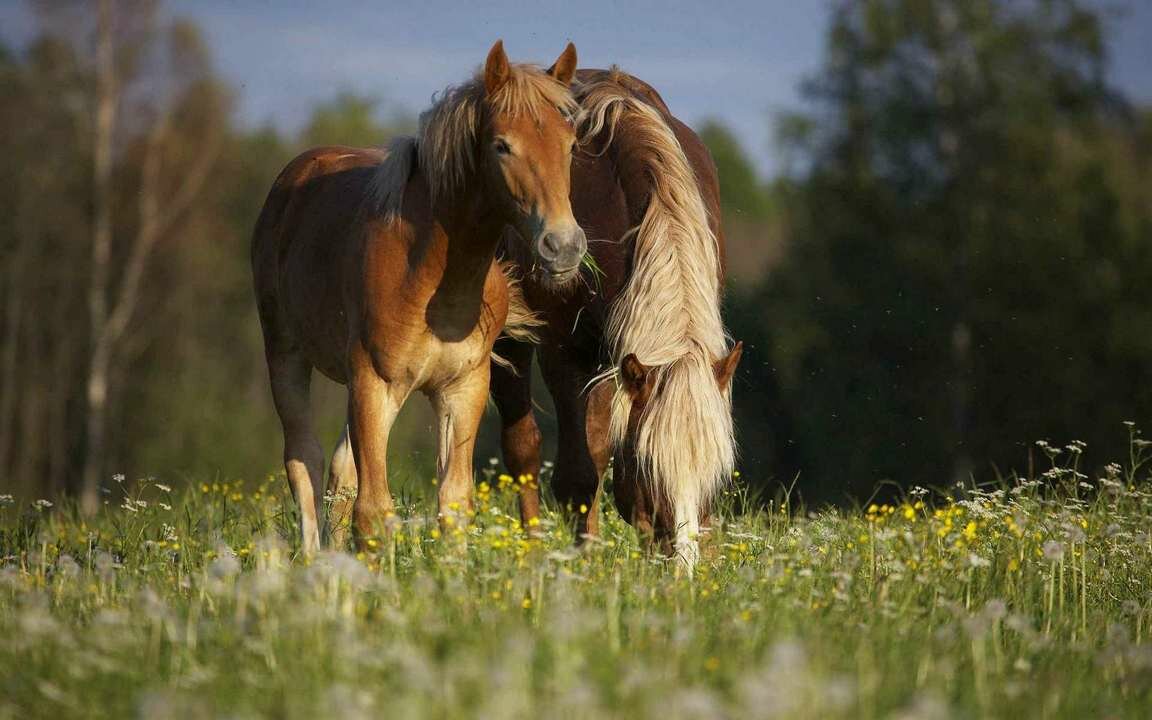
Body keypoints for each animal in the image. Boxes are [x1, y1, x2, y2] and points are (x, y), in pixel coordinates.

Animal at [247, 42, 580, 552]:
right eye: (502, 145)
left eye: (571, 145)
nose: (562, 245)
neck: (432, 277)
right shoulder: (375, 383)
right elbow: (373, 510)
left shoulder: (462, 389)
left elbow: (453, 502)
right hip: (288, 356)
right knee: (305, 460)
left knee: (339, 472)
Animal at [490, 67, 741, 564]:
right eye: (648, 466)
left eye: (717, 473)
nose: (682, 565)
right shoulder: (565, 353)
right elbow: (577, 475)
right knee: (523, 448)